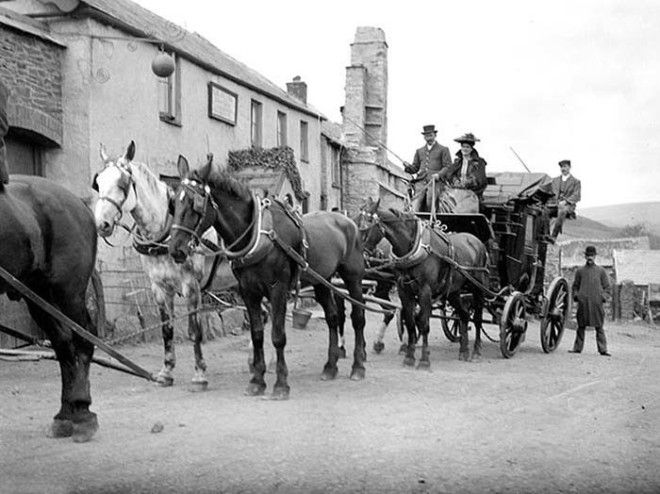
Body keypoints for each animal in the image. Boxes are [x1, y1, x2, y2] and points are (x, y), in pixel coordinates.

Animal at [0, 176, 99, 442]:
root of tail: (80, 204)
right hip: (38, 295)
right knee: (63, 344)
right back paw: (66, 414)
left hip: (68, 294)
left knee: (83, 339)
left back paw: (83, 412)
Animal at [93, 140, 218, 390]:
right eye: (98, 182)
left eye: (123, 183)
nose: (101, 224)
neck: (166, 235)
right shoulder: (159, 288)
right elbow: (166, 330)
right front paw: (166, 372)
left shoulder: (191, 287)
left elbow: (194, 330)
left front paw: (199, 374)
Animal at [169, 156, 366, 400]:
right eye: (174, 203)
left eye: (195, 204)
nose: (175, 249)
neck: (258, 234)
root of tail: (349, 222)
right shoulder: (248, 291)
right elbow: (257, 335)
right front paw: (257, 380)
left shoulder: (277, 288)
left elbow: (278, 336)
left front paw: (281, 384)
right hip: (321, 280)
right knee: (332, 318)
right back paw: (330, 366)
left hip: (353, 277)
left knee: (358, 317)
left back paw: (358, 366)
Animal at [358, 199, 488, 364]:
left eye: (367, 226)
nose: (362, 256)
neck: (414, 248)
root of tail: (477, 242)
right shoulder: (404, 289)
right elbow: (410, 321)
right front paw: (409, 356)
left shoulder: (425, 291)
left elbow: (423, 323)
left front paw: (424, 360)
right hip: (453, 291)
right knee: (464, 314)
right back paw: (464, 350)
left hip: (478, 287)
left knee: (477, 317)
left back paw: (476, 350)